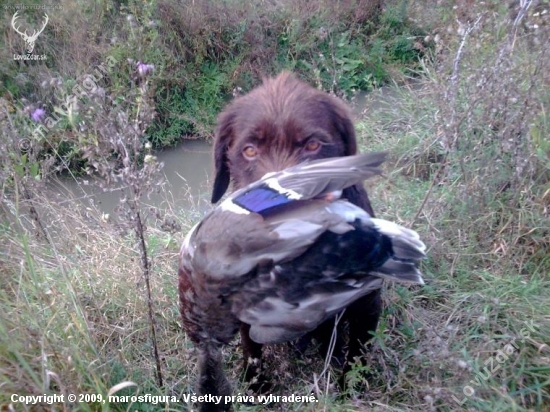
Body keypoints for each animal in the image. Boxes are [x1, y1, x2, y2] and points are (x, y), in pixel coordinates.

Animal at [209, 71, 382, 390]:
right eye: (249, 150)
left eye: (313, 146)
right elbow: (251, 350)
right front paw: (256, 387)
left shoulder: (367, 304)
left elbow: (357, 356)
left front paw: (348, 390)